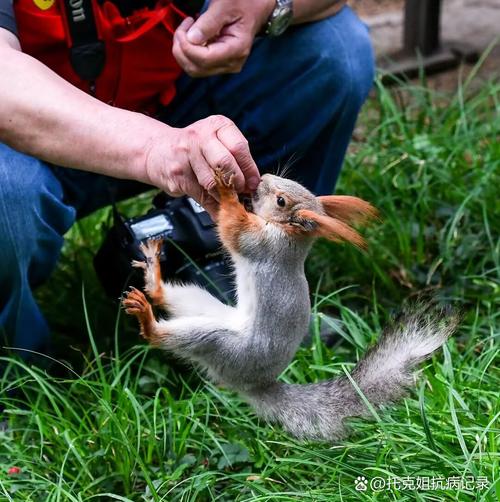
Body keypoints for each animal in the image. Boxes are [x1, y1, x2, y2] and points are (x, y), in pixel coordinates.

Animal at [121, 171, 458, 442]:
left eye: (281, 200)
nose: (261, 179)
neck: (287, 234)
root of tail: (255, 385)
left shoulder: (262, 243)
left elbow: (232, 229)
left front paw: (226, 192)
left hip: (223, 345)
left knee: (169, 337)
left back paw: (148, 319)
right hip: (204, 305)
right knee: (172, 298)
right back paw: (152, 277)